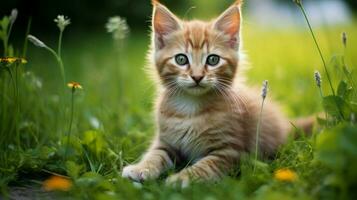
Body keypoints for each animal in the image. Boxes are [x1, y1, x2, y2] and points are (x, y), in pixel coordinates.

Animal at [121, 0, 308, 187]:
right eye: (181, 59)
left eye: (213, 60)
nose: (197, 76)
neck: (190, 108)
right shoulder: (165, 142)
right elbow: (155, 154)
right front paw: (141, 168)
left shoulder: (230, 152)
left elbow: (205, 166)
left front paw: (181, 178)